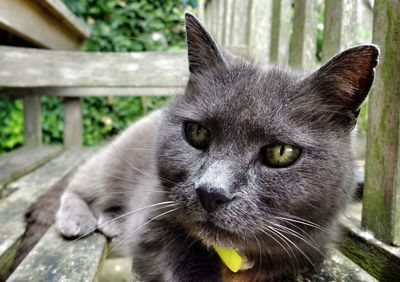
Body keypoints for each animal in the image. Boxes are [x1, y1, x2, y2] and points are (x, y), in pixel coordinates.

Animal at [53, 12, 378, 280]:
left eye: (281, 152)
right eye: (197, 132)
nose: (211, 192)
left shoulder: (308, 249)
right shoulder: (152, 219)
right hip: (113, 162)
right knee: (81, 184)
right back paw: (77, 220)